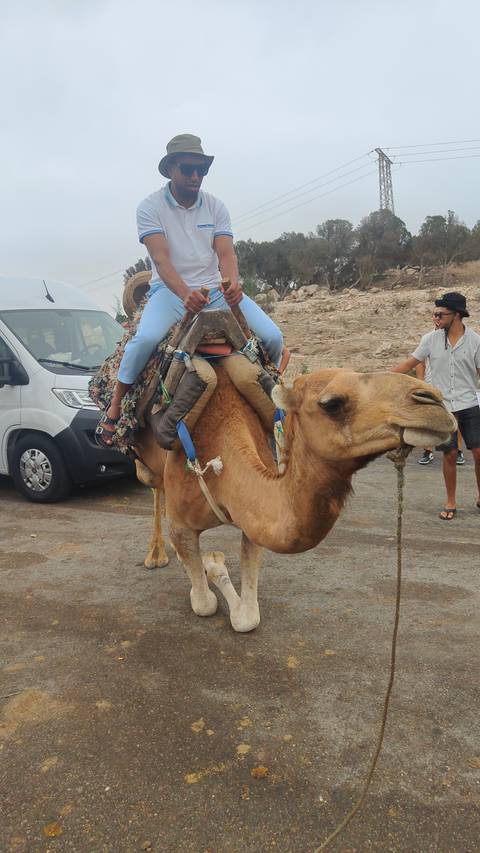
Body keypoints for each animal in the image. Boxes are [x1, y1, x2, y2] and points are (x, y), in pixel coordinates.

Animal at [132, 365, 455, 632]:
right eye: (332, 403)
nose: (433, 401)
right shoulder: (182, 522)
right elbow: (205, 604)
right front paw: (208, 565)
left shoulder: (254, 522)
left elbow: (247, 618)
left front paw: (212, 560)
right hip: (149, 470)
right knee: (153, 485)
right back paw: (156, 555)